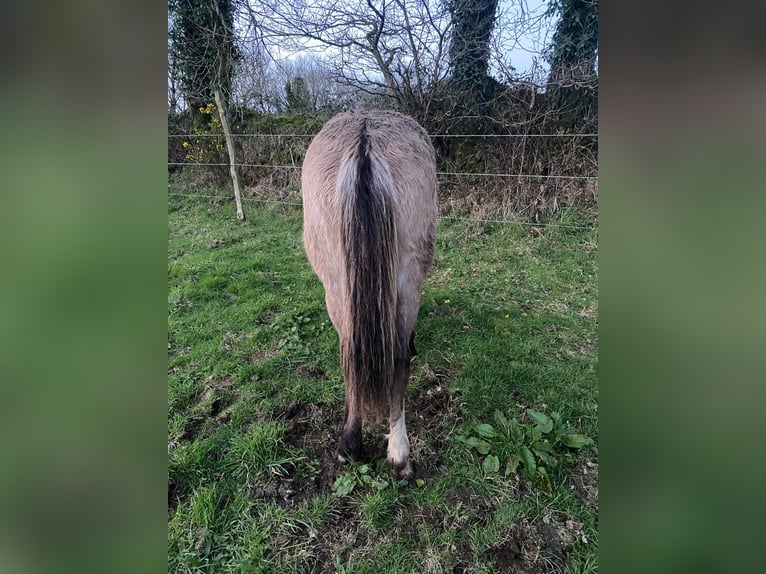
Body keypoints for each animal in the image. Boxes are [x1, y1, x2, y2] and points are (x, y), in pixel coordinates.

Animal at [301, 110, 437, 478]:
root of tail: (365, 139)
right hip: (401, 284)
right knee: (397, 358)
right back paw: (397, 453)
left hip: (338, 288)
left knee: (354, 354)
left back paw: (356, 445)